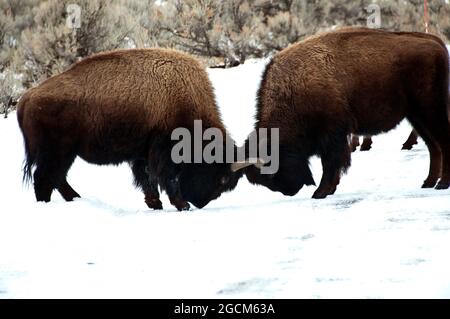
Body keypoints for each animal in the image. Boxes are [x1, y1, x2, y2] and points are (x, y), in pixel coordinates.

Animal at [16, 48, 246, 211]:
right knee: (45, 178)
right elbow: (165, 177)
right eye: (222, 179)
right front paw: (181, 205)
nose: (199, 203)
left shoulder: (143, 153)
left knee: (57, 178)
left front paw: (155, 204)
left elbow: (147, 178)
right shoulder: (163, 151)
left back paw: (75, 198)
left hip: (65, 154)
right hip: (59, 152)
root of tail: (27, 98)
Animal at [246, 26, 450, 200]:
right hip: (416, 116)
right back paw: (428, 182)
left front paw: (320, 192)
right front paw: (329, 189)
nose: (289, 191)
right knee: (433, 146)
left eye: (271, 171)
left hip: (430, 110)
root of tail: (436, 43)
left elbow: (331, 163)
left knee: (442, 142)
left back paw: (442, 184)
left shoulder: (332, 134)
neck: (293, 88)